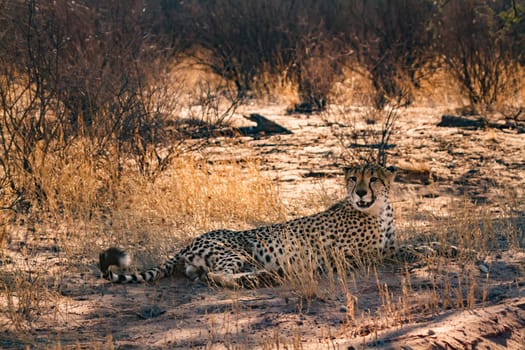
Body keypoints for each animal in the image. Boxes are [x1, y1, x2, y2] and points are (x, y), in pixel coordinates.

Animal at [100, 164, 400, 288]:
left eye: (373, 179)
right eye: (353, 178)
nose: (360, 192)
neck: (379, 210)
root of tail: (188, 242)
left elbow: (399, 248)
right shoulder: (351, 254)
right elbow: (397, 251)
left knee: (202, 276)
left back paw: (264, 276)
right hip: (237, 252)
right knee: (217, 276)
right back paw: (261, 278)